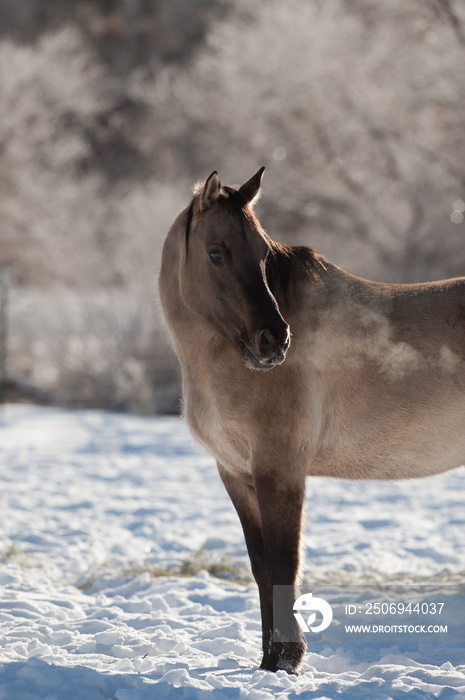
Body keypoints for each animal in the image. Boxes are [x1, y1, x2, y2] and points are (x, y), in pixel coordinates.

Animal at [158, 168, 464, 672]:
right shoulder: (236, 473)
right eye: (216, 253)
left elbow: (284, 563)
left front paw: (287, 658)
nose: (274, 341)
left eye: (264, 255)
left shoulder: (280, 469)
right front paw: (268, 661)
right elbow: (261, 566)